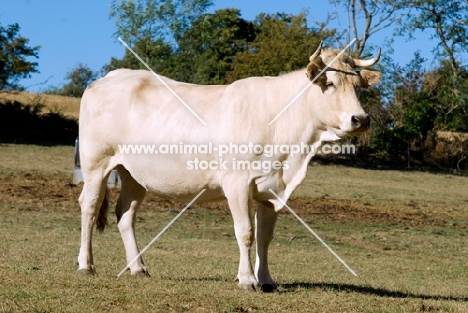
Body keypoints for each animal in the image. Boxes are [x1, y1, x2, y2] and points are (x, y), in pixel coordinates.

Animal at [77, 40, 380, 290]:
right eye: (329, 83)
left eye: (357, 87)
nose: (361, 119)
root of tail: (110, 77)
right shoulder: (237, 183)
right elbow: (245, 232)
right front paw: (247, 280)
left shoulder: (272, 189)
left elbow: (265, 236)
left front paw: (266, 280)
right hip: (96, 163)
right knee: (89, 207)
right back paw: (85, 264)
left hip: (134, 174)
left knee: (125, 214)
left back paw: (138, 268)